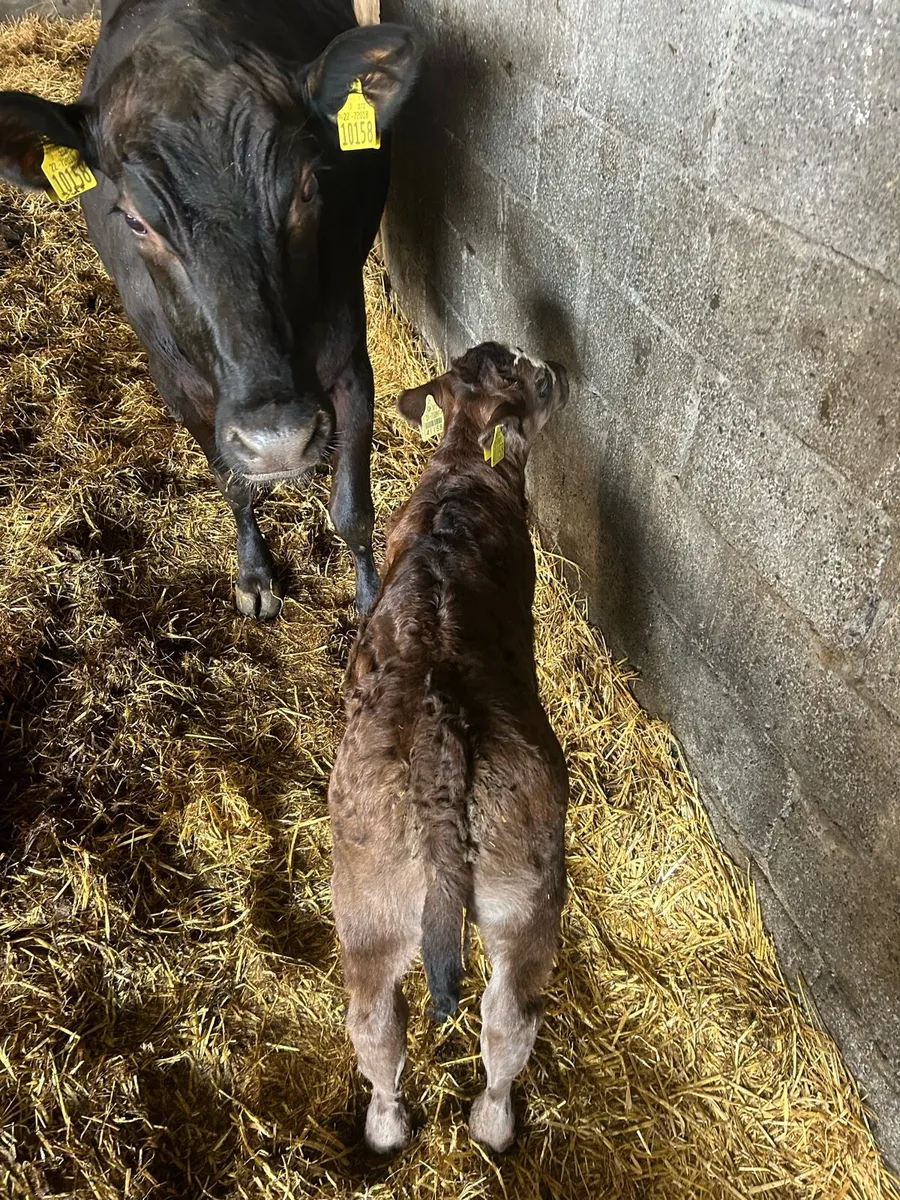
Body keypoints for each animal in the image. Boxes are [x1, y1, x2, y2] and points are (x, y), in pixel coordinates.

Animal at [0, 0, 420, 617]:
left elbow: (353, 511)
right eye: (135, 221)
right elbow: (234, 487)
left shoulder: (349, 358)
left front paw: (372, 603)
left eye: (308, 188)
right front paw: (254, 576)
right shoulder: (178, 385)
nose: (277, 439)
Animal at [328, 341, 570, 1155]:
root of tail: (441, 723)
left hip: (371, 903)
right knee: (505, 1021)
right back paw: (488, 1127)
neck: (463, 460)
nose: (557, 371)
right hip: (521, 897)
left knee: (384, 1023)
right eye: (526, 376)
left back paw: (396, 1128)